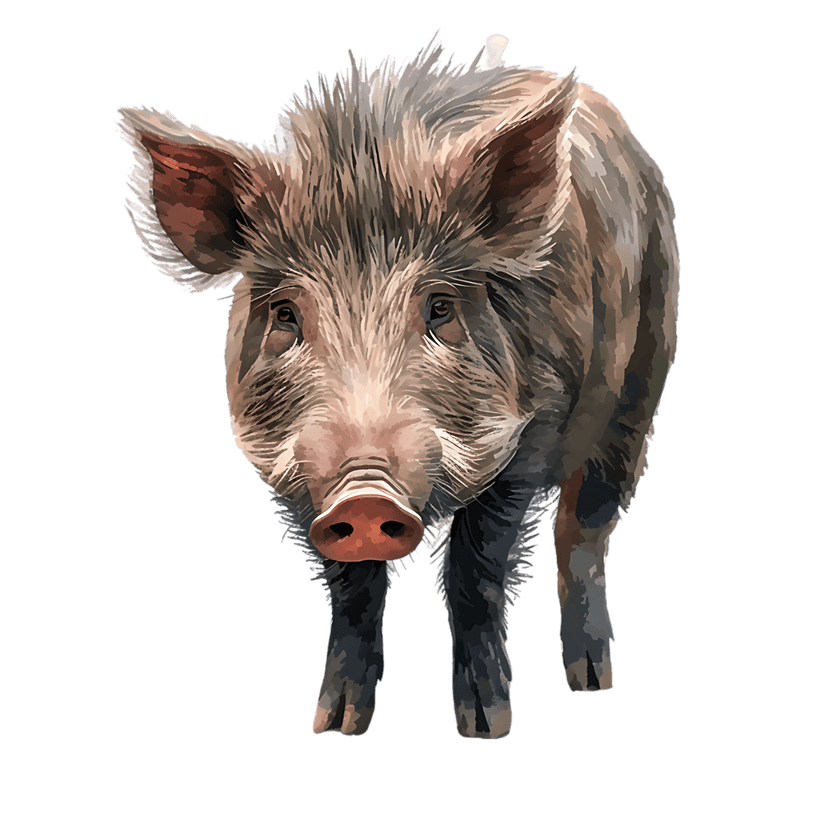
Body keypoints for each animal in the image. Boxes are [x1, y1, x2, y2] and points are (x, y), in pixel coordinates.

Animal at [117, 31, 678, 739]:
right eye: (286, 314)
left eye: (439, 307)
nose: (365, 496)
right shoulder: (302, 477)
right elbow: (351, 588)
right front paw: (334, 724)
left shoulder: (532, 430)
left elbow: (475, 566)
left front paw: (487, 727)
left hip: (643, 383)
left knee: (586, 527)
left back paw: (592, 683)